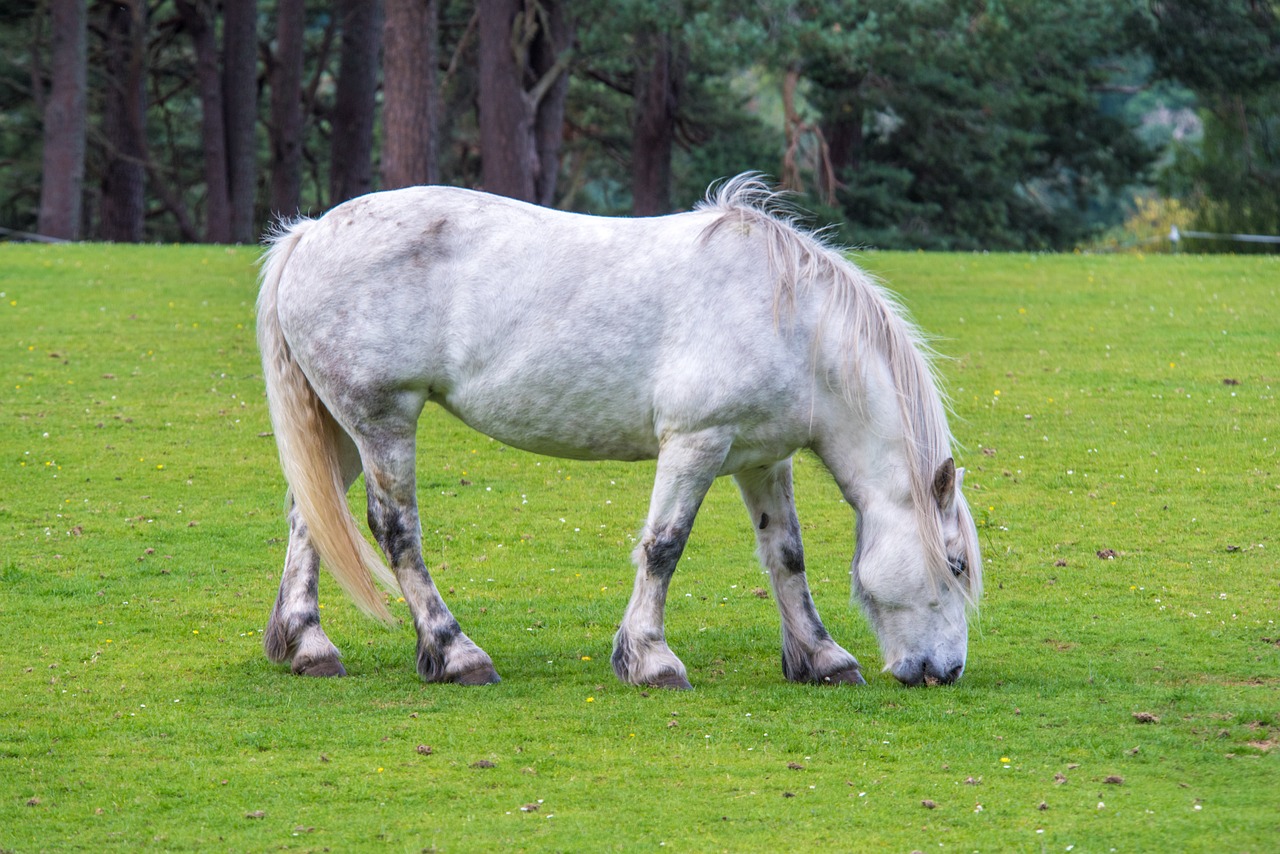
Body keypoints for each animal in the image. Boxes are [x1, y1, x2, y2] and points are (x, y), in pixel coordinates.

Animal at [254, 174, 983, 686]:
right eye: (953, 564)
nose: (945, 672)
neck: (792, 322)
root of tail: (309, 234)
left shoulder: (760, 459)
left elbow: (786, 556)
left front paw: (822, 657)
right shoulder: (696, 442)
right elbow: (664, 547)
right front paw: (651, 659)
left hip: (339, 429)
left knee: (309, 516)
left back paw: (308, 646)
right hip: (382, 420)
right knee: (395, 530)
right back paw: (456, 652)